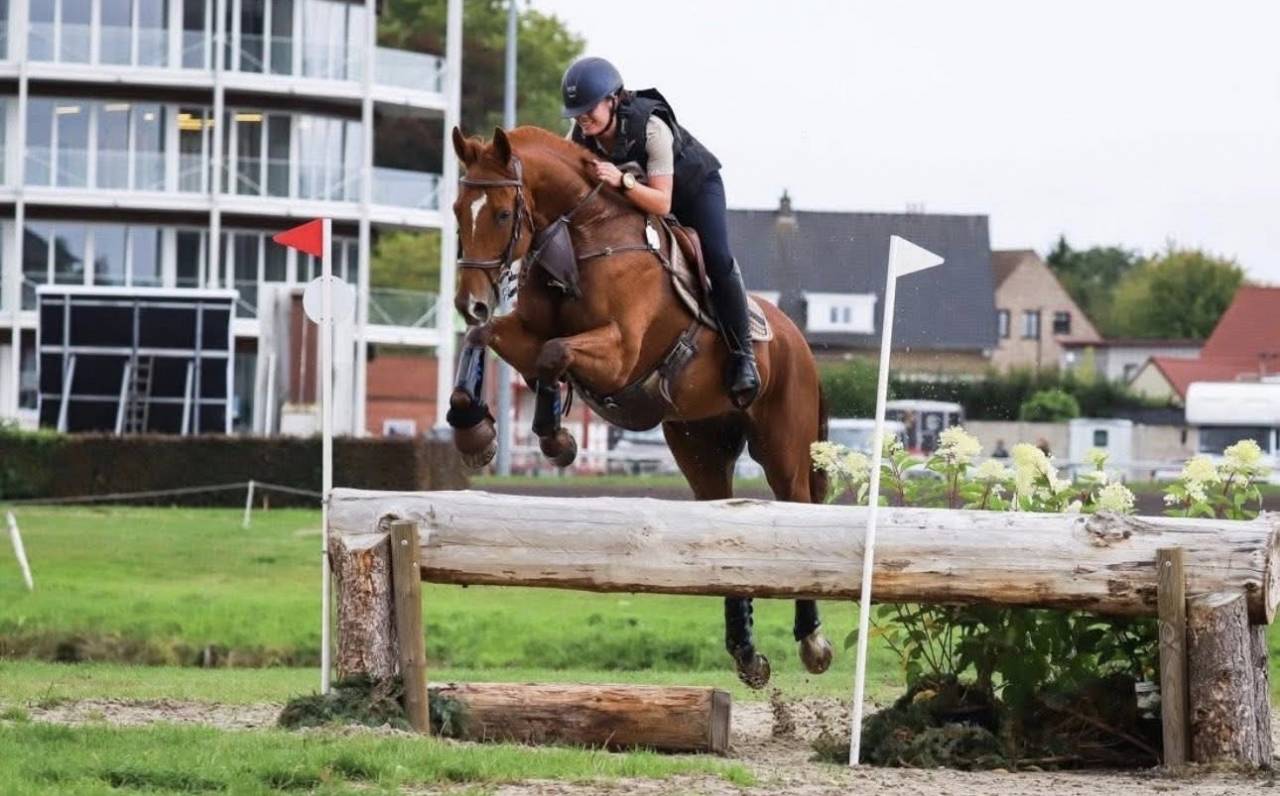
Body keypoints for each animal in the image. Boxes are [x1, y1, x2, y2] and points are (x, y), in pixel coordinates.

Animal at [444, 124, 832, 688]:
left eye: (499, 213)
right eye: (457, 209)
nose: (469, 301)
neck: (584, 234)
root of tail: (799, 341)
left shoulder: (622, 353)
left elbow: (554, 352)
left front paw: (555, 439)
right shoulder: (528, 330)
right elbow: (496, 339)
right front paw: (474, 430)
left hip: (782, 443)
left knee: (799, 505)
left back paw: (812, 641)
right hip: (699, 445)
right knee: (726, 523)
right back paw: (745, 652)